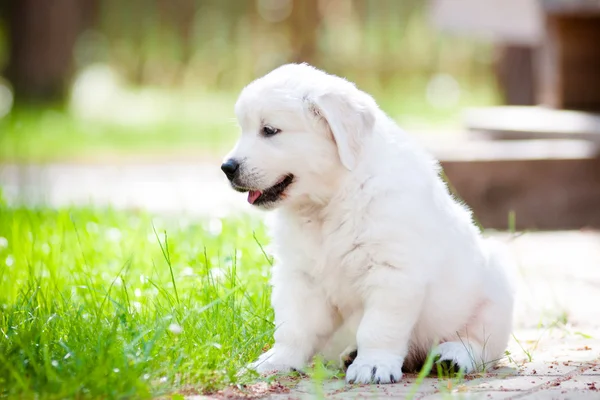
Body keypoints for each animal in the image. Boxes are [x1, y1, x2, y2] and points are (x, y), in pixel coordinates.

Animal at [221, 63, 516, 384]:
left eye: (270, 130)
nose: (227, 167)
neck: (332, 201)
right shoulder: (300, 275)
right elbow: (293, 327)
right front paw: (277, 361)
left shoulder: (393, 272)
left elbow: (378, 328)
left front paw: (373, 364)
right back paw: (350, 354)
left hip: (495, 292)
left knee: (479, 343)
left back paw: (451, 357)